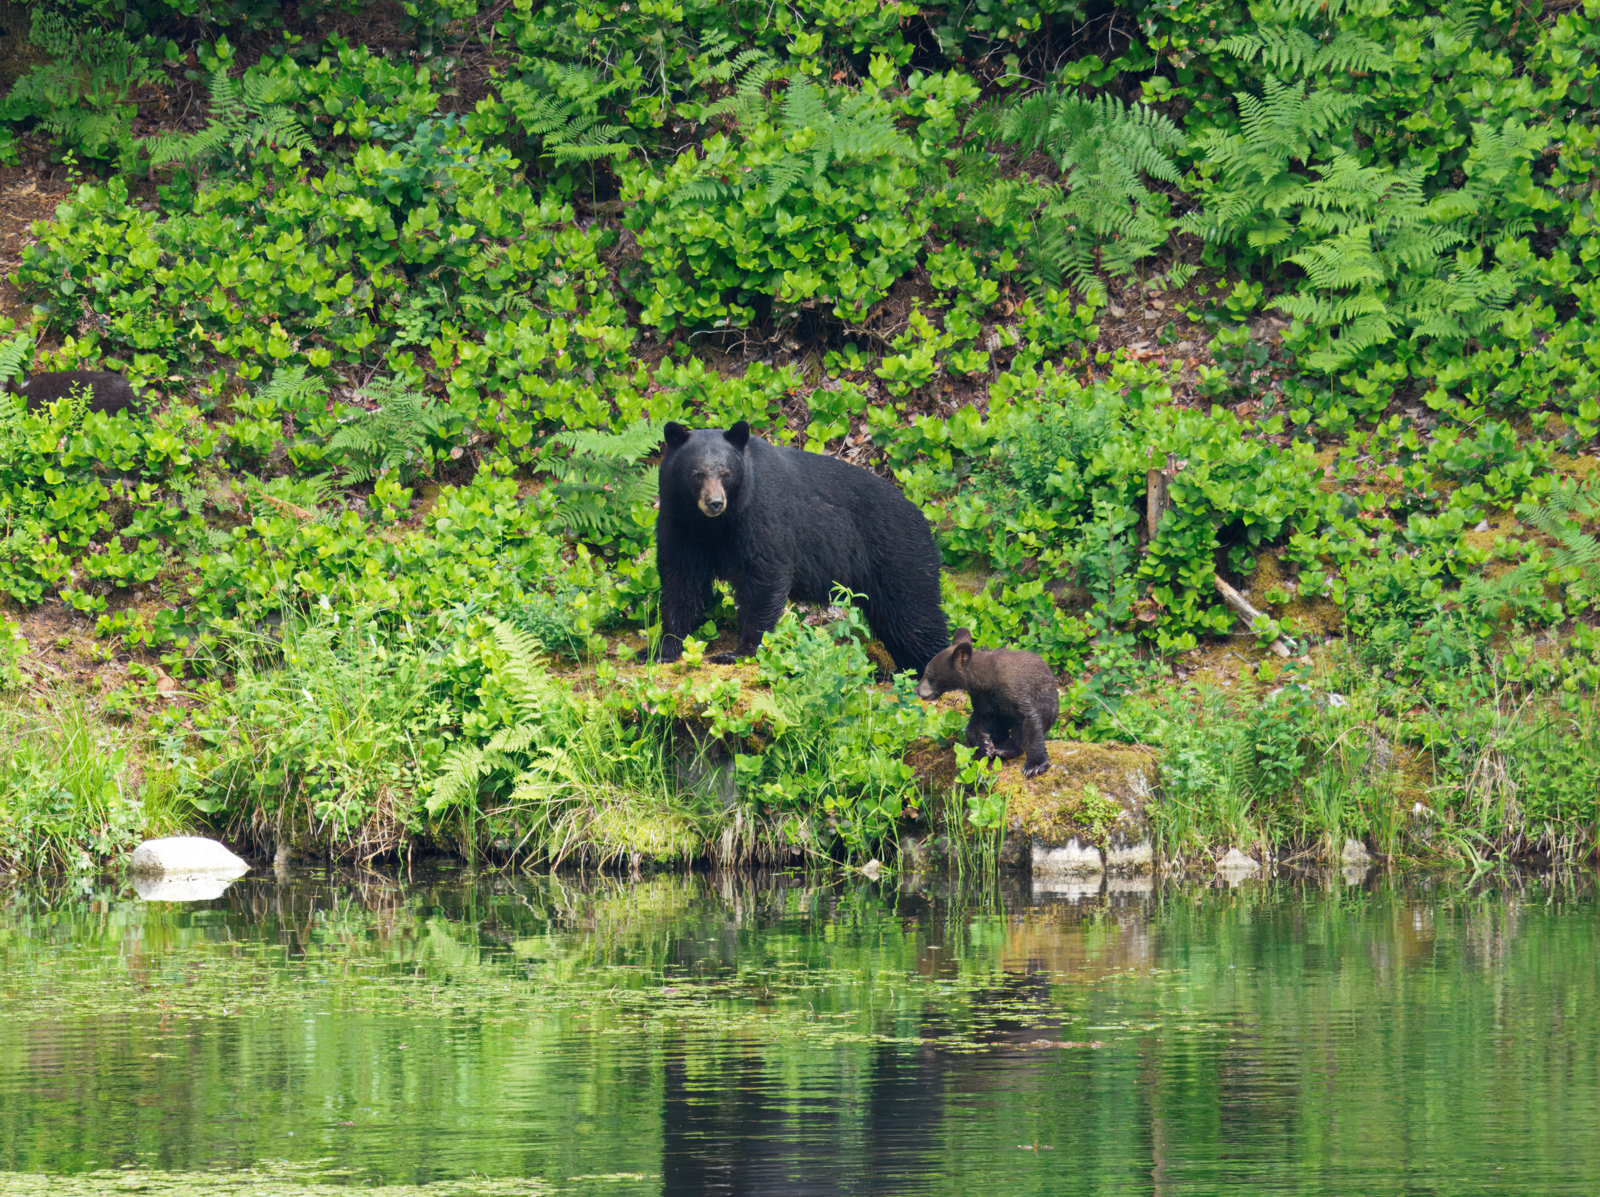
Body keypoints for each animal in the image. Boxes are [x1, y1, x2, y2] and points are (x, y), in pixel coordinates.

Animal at [644, 420, 949, 675]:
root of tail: (924, 519)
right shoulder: (681, 524)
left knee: (916, 618)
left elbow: (765, 575)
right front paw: (662, 650)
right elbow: (680, 581)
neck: (714, 524)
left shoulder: (761, 513)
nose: (715, 503)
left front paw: (738, 652)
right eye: (696, 474)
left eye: (725, 473)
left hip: (899, 556)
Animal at [916, 627, 1060, 778]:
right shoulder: (982, 699)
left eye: (930, 675)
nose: (917, 690)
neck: (986, 680)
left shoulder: (1015, 690)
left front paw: (1035, 765)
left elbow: (1029, 720)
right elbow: (977, 721)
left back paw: (1005, 750)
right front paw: (985, 745)